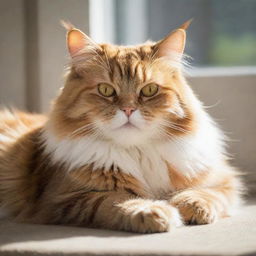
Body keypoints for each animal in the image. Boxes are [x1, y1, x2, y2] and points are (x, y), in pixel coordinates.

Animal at [0, 21, 244, 233]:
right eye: (106, 90)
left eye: (149, 90)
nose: (128, 110)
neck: (140, 152)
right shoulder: (63, 199)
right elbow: (116, 200)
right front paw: (154, 211)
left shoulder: (224, 180)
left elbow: (208, 194)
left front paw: (191, 206)